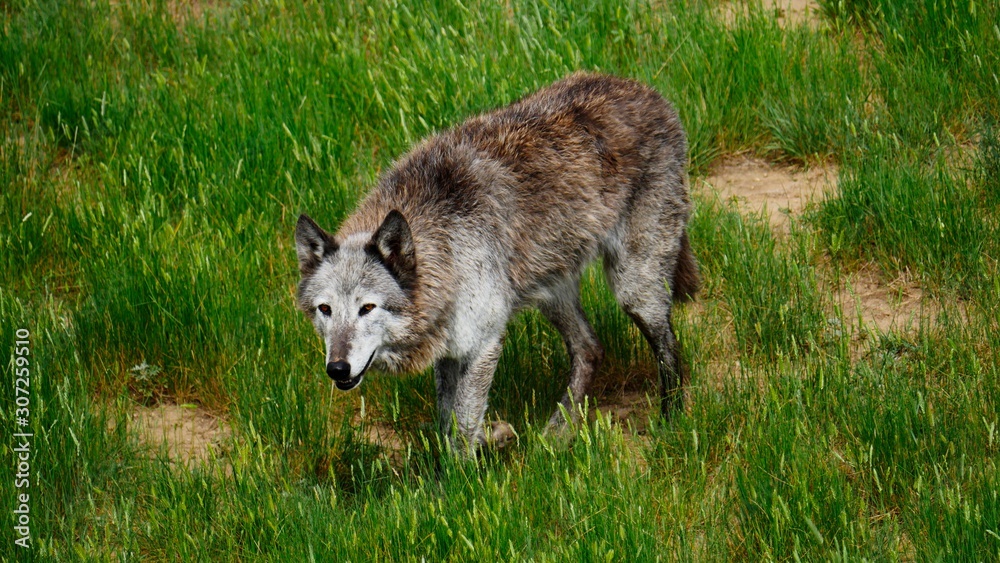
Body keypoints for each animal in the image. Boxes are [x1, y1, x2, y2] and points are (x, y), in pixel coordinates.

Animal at [295, 72, 699, 453]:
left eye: (367, 308)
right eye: (325, 309)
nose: (337, 369)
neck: (446, 244)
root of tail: (647, 93)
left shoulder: (484, 345)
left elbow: (461, 428)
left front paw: (463, 473)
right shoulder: (451, 352)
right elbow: (449, 425)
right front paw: (492, 440)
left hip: (632, 285)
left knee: (667, 346)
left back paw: (670, 420)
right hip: (552, 292)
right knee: (590, 348)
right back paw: (558, 431)